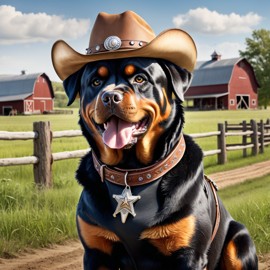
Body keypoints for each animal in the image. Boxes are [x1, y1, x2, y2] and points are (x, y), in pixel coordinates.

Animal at [63, 57, 258, 270]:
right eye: (96, 82)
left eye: (140, 79)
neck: (131, 172)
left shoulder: (189, 254)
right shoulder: (96, 252)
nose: (109, 97)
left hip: (239, 239)